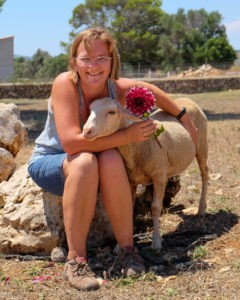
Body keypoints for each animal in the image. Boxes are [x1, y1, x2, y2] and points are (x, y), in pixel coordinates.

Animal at [83, 97, 208, 252]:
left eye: (112, 112)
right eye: (90, 110)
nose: (86, 131)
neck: (137, 147)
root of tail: (187, 99)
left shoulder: (159, 177)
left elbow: (155, 208)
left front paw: (156, 242)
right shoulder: (132, 181)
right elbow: (128, 209)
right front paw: (121, 245)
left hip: (202, 146)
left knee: (204, 174)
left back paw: (201, 208)